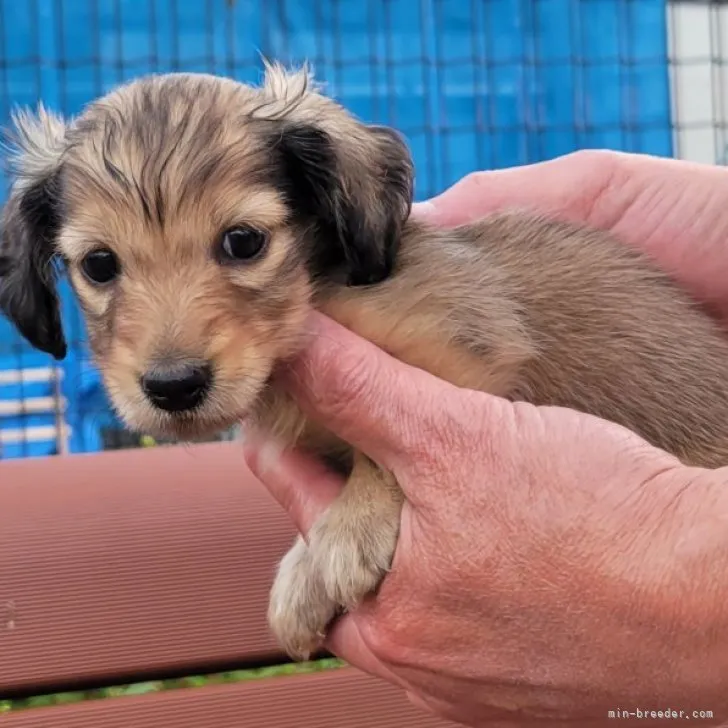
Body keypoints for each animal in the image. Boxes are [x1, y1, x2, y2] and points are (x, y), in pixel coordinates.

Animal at [4, 65, 728, 664]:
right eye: (99, 264)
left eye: (243, 241)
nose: (173, 387)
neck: (316, 292)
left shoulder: (467, 345)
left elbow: (388, 446)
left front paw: (343, 535)